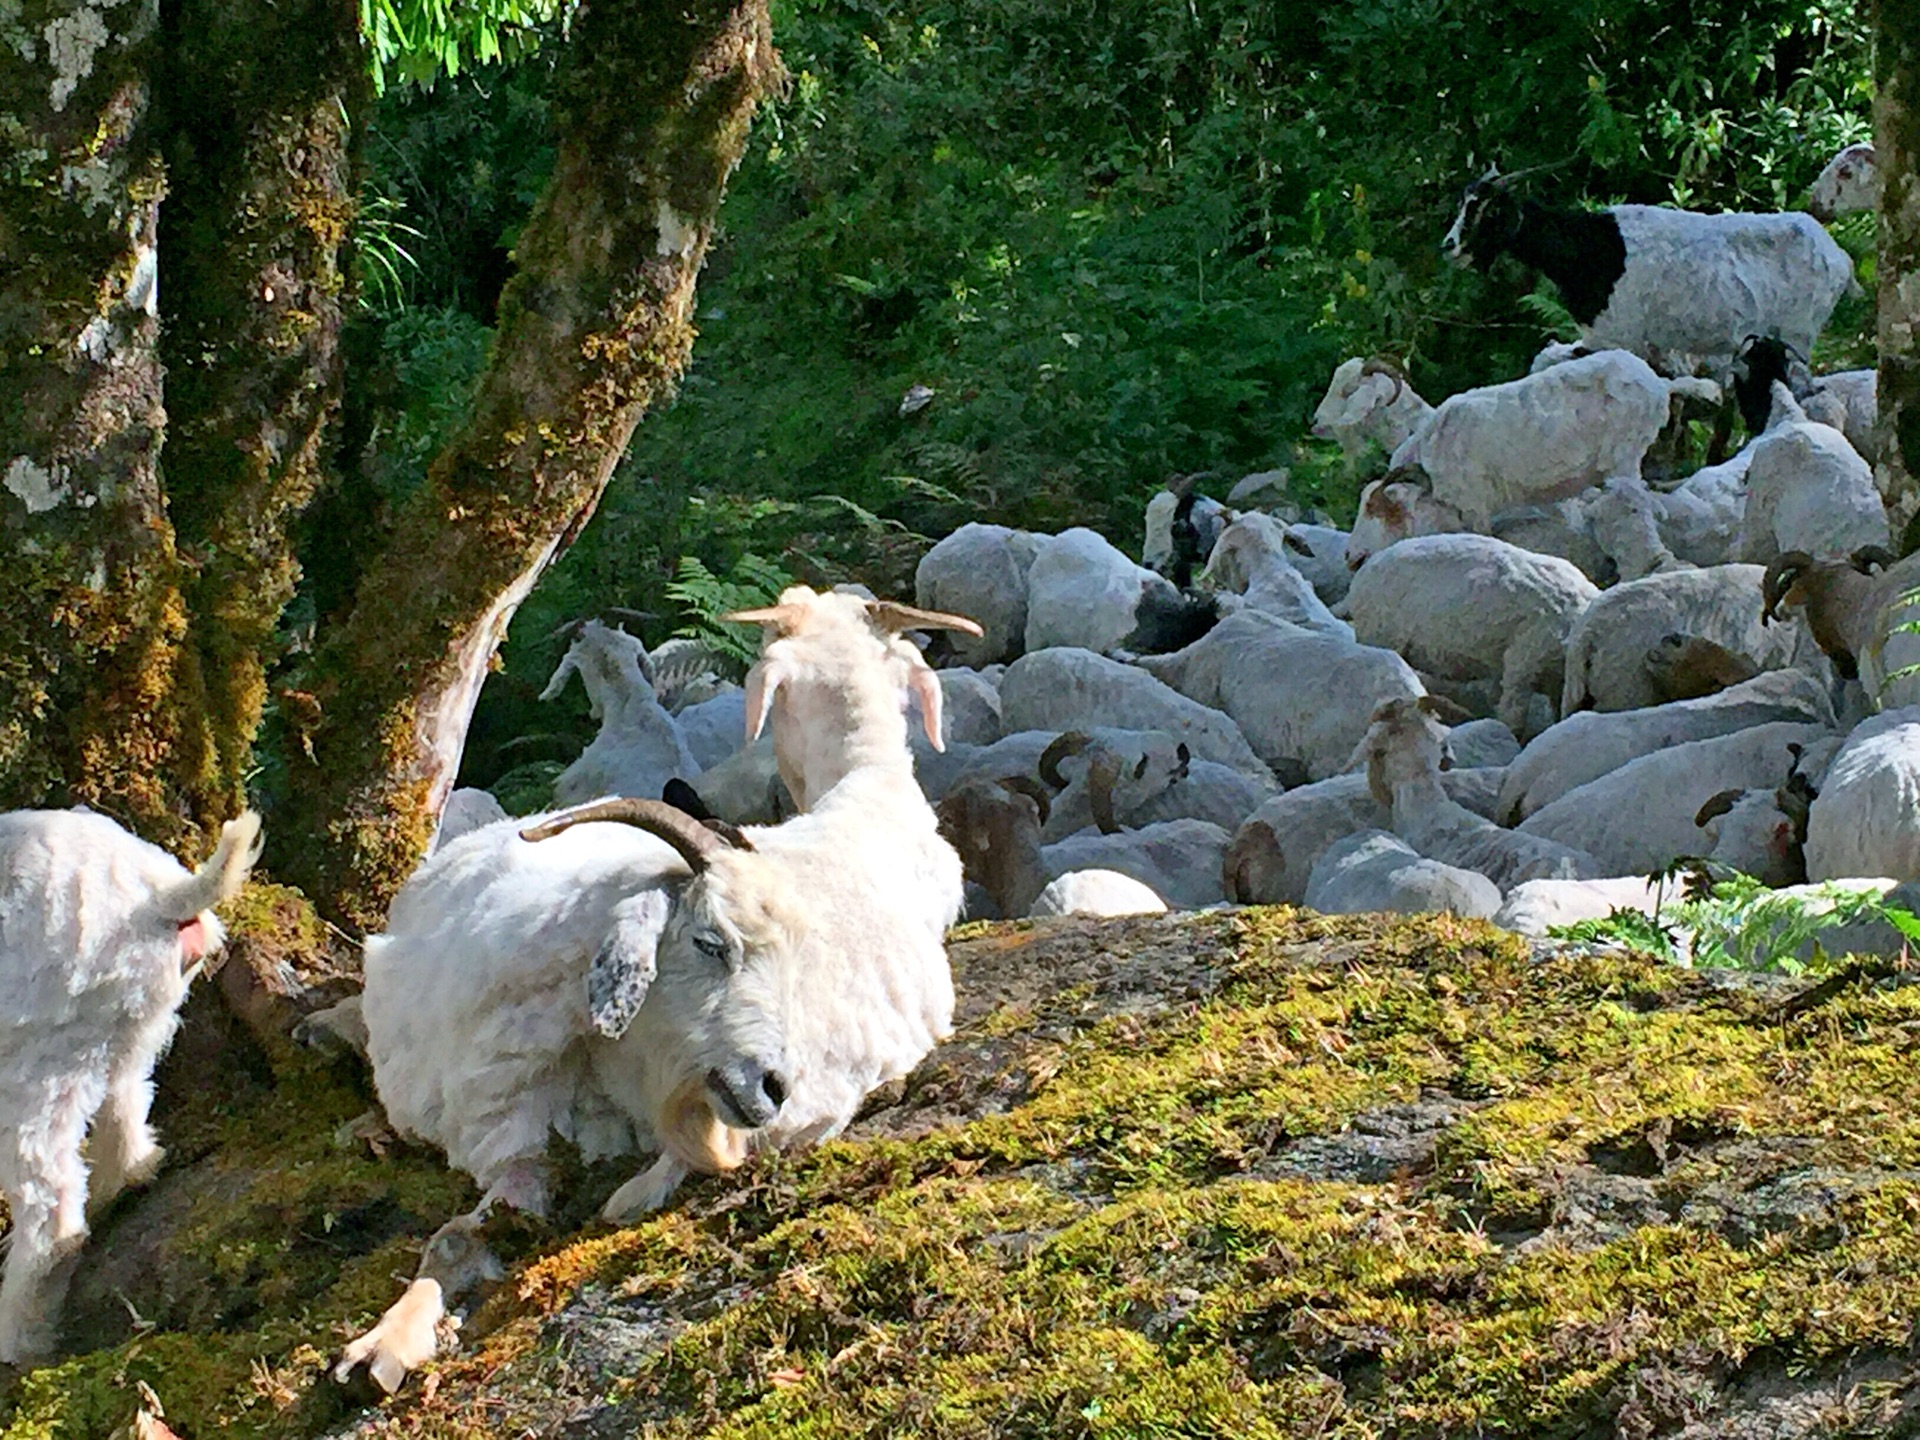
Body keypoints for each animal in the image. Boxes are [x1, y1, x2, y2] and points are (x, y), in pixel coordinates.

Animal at [0, 814, 261, 1367]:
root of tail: (159, 896)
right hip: (129, 1028)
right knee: (125, 1113)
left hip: (35, 1073)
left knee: (54, 1216)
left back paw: (17, 1336)